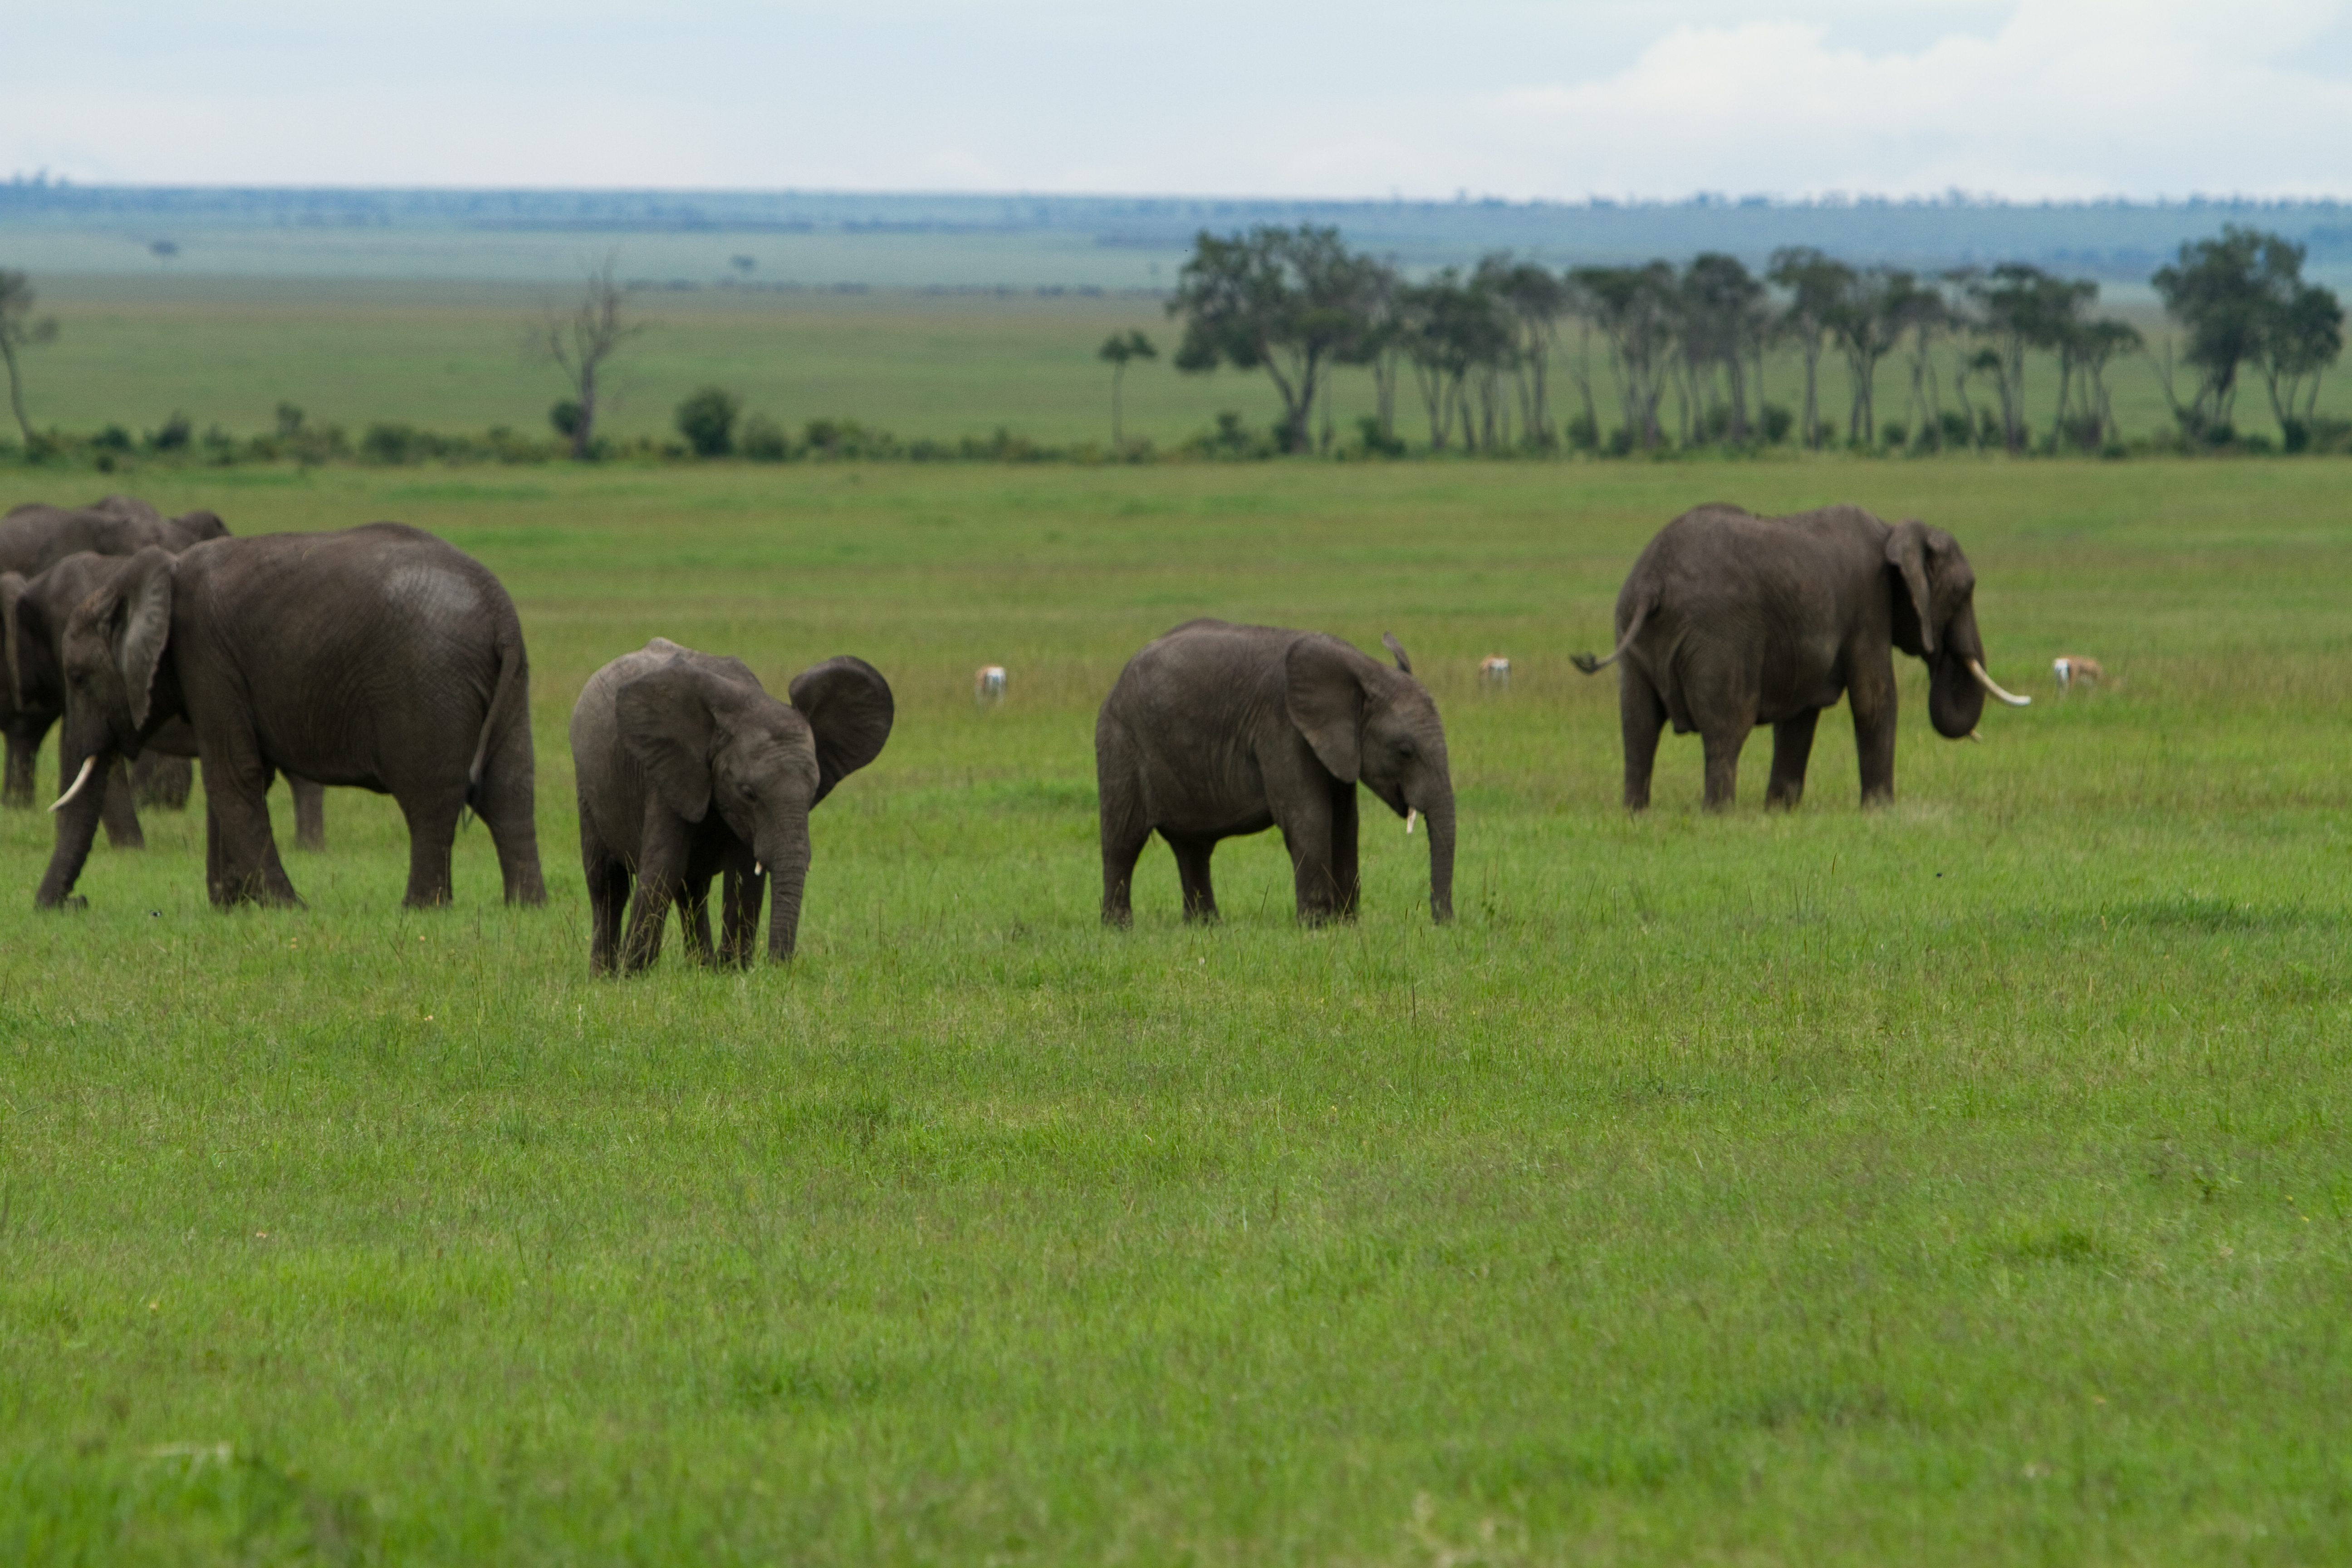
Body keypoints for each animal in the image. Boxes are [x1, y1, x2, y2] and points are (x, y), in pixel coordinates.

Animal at [37, 523, 543, 910]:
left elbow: (232, 776)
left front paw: (284, 907)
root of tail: (499, 613)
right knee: (509, 788)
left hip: (426, 681)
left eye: (79, 678)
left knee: (429, 797)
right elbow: (246, 777)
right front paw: (235, 906)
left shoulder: (206, 657)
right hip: (508, 680)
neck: (140, 577)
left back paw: (421, 909)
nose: (74, 903)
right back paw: (525, 907)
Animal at [570, 637, 894, 973]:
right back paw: (604, 975)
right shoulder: (668, 770)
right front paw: (634, 973)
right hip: (587, 786)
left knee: (692, 890)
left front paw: (732, 970)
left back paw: (700, 968)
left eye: (813, 792)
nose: (779, 964)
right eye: (748, 793)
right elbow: (664, 864)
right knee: (607, 883)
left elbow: (744, 872)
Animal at [1096, 619, 1456, 927]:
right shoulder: (1283, 729)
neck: (1364, 671)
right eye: (1405, 751)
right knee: (1124, 839)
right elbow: (1310, 817)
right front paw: (1317, 926)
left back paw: (1206, 927)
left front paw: (1346, 924)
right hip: (1121, 742)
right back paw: (1120, 928)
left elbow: (1345, 824)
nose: (1443, 923)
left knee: (1192, 846)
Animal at [1571, 503, 2031, 811]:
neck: (1893, 530)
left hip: (1633, 633)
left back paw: (1636, 813)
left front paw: (1779, 811)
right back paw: (1719, 815)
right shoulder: (1868, 606)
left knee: (1638, 728)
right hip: (1719, 641)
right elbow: (1875, 700)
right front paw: (1880, 812)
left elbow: (1800, 718)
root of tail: (1653, 583)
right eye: (1965, 591)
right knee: (1726, 728)